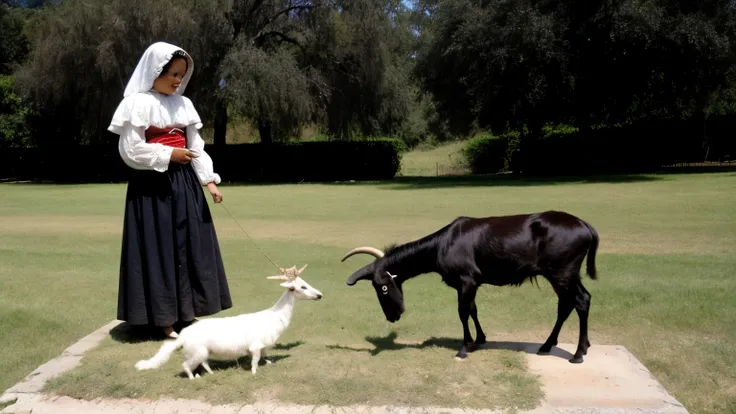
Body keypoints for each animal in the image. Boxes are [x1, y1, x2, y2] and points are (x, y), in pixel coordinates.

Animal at [342, 210, 600, 362]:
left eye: (382, 287)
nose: (393, 316)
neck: (442, 245)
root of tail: (585, 225)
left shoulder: (467, 279)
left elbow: (463, 311)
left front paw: (464, 348)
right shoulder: (467, 283)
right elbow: (473, 309)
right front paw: (479, 339)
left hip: (562, 272)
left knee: (580, 300)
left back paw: (578, 354)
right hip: (563, 274)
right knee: (568, 303)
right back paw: (552, 345)